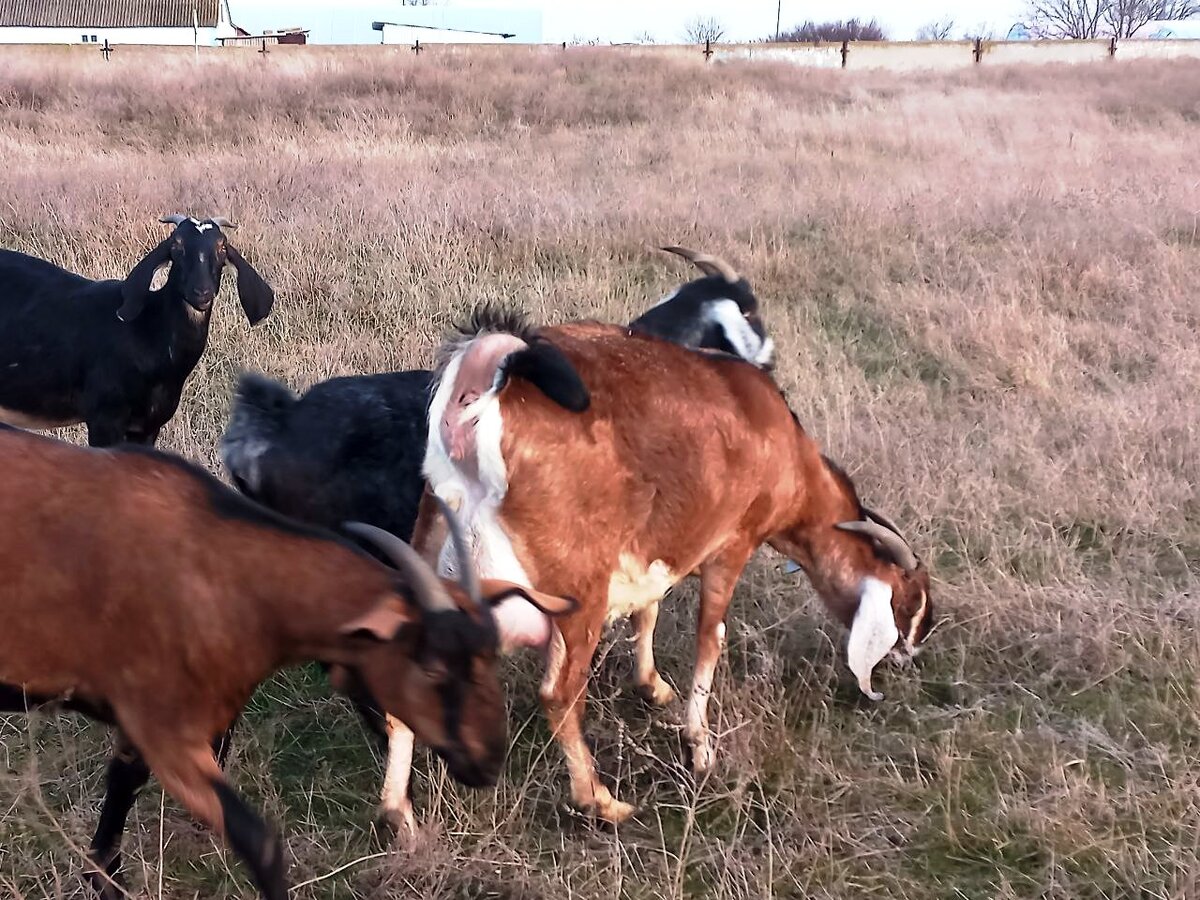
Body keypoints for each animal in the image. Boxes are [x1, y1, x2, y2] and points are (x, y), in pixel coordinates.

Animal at [412, 309, 936, 825]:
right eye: (910, 599)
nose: (911, 653)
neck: (786, 446)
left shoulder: (652, 549)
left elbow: (649, 610)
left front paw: (652, 685)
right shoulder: (732, 545)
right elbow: (710, 637)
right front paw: (699, 745)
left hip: (433, 539)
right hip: (574, 588)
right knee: (559, 694)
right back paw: (600, 801)